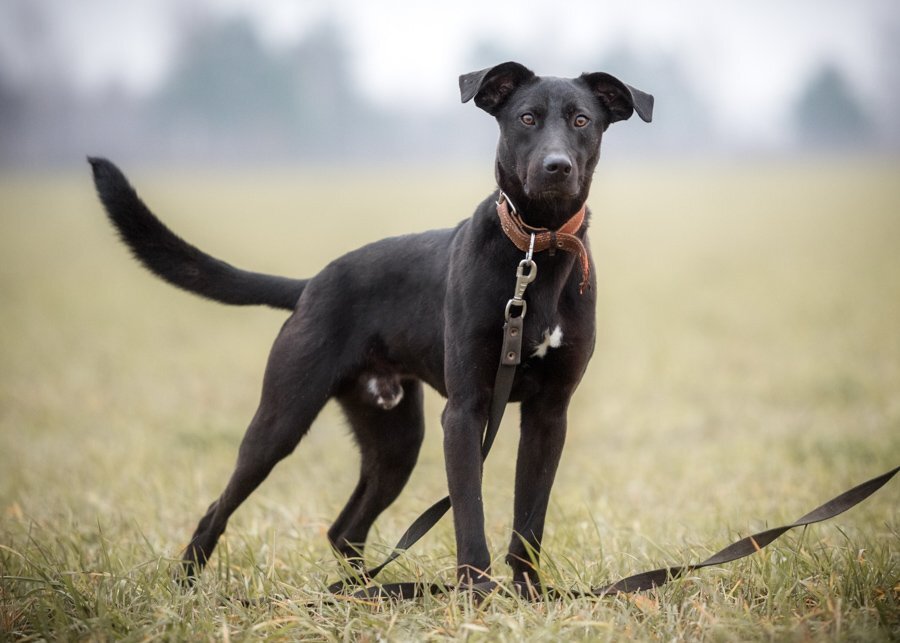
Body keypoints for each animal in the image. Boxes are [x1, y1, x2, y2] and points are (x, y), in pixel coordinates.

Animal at [91, 63, 652, 592]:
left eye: (582, 121)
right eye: (527, 118)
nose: (556, 167)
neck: (536, 248)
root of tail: (312, 284)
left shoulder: (548, 415)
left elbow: (529, 522)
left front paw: (530, 596)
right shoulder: (465, 412)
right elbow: (469, 515)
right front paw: (477, 596)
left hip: (395, 440)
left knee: (345, 530)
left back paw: (362, 593)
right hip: (282, 420)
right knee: (220, 509)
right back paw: (188, 585)